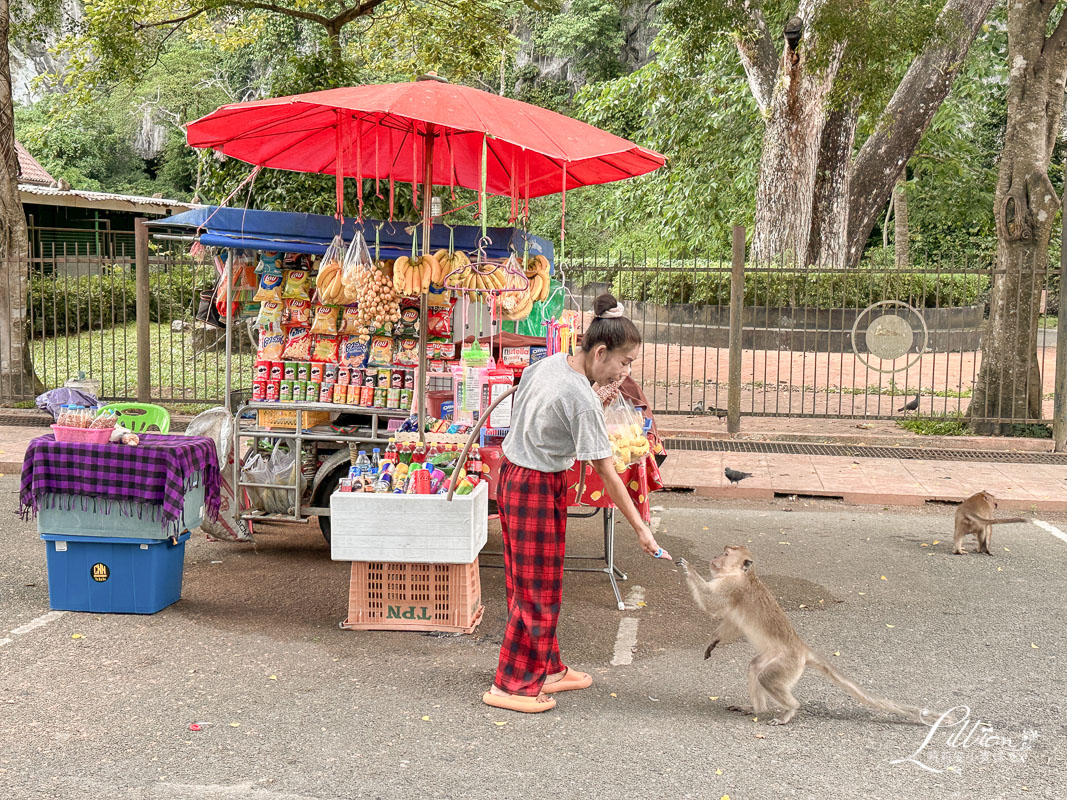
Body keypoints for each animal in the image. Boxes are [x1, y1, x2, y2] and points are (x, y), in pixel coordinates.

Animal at [678, 550, 938, 725]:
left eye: (725, 554)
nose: (715, 558)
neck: (743, 575)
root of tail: (801, 648)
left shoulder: (731, 586)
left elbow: (711, 606)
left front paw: (688, 568)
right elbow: (730, 622)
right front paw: (714, 640)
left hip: (787, 664)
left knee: (767, 678)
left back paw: (790, 710)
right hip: (776, 658)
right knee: (755, 668)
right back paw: (756, 709)